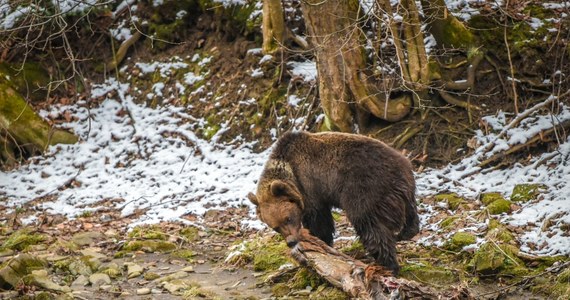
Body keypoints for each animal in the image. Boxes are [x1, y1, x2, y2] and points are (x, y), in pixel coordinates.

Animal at [247, 130, 418, 276]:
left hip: (366, 188)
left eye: (288, 218)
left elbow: (319, 220)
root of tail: (403, 166)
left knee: (369, 223)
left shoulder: (310, 188)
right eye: (275, 227)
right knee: (410, 217)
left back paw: (386, 264)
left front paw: (320, 242)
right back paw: (404, 234)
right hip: (406, 193)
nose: (291, 241)